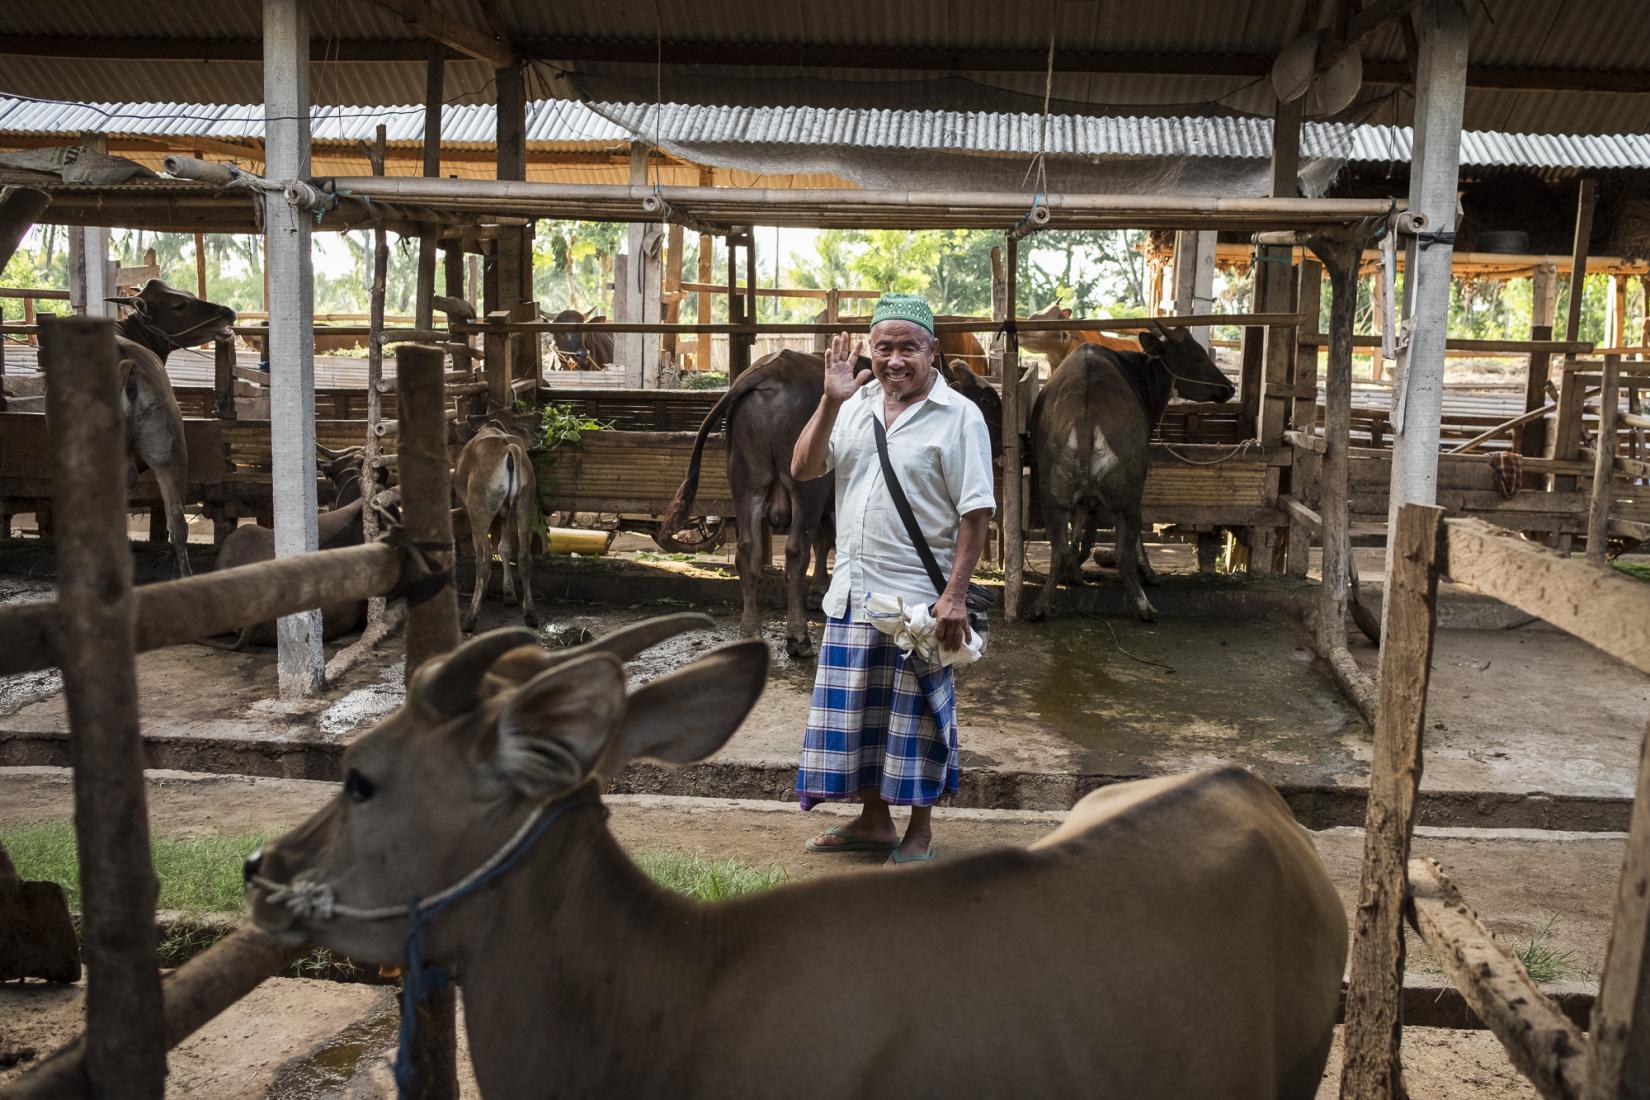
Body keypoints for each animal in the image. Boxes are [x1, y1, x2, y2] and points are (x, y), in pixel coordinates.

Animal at [1029, 323, 1240, 623]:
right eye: (1199, 357)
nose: (1228, 388)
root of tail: (1085, 418)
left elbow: (1080, 530)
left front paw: (1075, 573)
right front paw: (1149, 574)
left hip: (1054, 498)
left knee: (1059, 549)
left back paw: (1041, 605)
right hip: (1128, 497)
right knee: (1124, 552)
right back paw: (1144, 606)